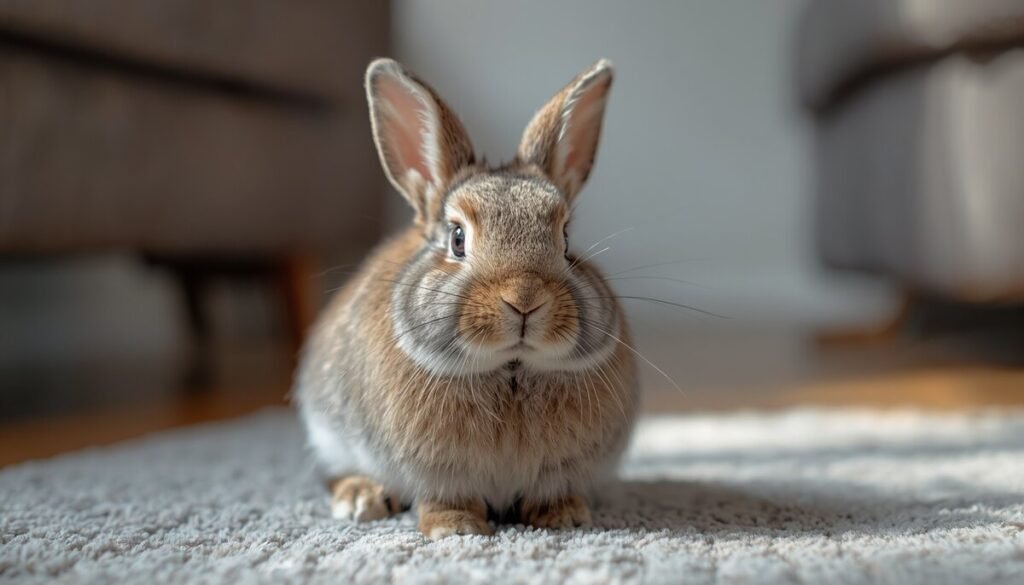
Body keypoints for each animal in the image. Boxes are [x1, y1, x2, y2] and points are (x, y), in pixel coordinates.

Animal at [293, 57, 638, 539]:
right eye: (457, 239)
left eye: (566, 239)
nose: (524, 299)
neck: (511, 369)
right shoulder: (438, 472)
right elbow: (446, 498)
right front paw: (456, 529)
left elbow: (550, 493)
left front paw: (564, 517)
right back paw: (362, 498)